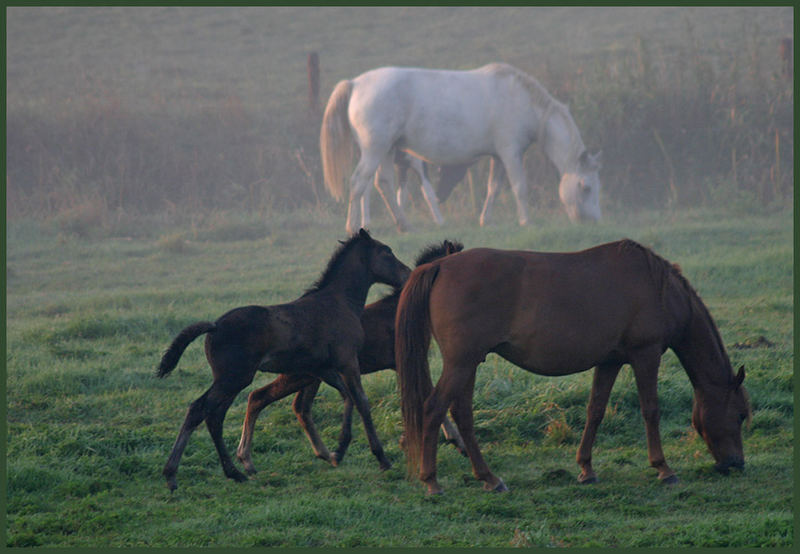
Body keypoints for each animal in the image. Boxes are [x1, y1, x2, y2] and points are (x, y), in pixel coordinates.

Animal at [155, 227, 410, 488]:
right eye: (387, 252)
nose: (407, 274)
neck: (340, 303)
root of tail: (214, 326)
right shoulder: (347, 362)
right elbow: (361, 401)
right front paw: (378, 457)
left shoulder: (323, 369)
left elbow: (346, 398)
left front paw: (336, 451)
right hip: (233, 379)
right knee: (200, 411)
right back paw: (173, 474)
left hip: (232, 381)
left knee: (215, 416)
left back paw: (236, 471)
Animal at [234, 239, 466, 472]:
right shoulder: (406, 362)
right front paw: (455, 442)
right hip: (297, 376)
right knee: (260, 397)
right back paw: (249, 459)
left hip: (312, 377)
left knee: (299, 406)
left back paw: (326, 454)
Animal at [318, 63, 600, 233]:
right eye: (585, 187)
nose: (592, 223)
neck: (522, 101)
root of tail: (355, 83)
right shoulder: (511, 154)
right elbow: (519, 187)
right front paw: (526, 221)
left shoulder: (499, 157)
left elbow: (493, 188)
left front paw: (486, 220)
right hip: (374, 150)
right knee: (358, 183)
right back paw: (353, 227)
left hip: (386, 150)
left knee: (383, 183)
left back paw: (404, 225)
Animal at [396, 239, 752, 494]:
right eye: (739, 415)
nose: (736, 464)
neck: (660, 289)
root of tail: (441, 265)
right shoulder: (645, 355)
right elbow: (650, 410)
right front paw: (663, 468)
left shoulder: (610, 361)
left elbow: (595, 410)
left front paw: (586, 469)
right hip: (461, 363)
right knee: (433, 409)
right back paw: (432, 481)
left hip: (468, 364)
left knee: (463, 414)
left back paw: (489, 478)